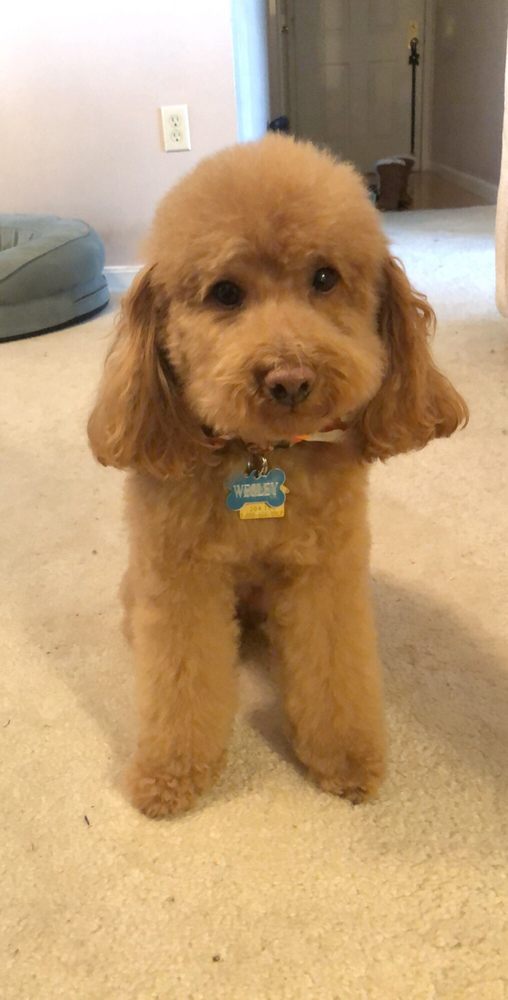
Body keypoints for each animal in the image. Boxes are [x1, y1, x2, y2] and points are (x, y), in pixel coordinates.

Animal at [88, 135, 468, 817]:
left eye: (324, 278)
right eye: (225, 293)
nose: (290, 379)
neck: (262, 454)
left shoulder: (325, 573)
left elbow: (334, 670)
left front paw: (344, 757)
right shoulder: (180, 579)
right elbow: (180, 681)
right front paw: (170, 774)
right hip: (144, 585)